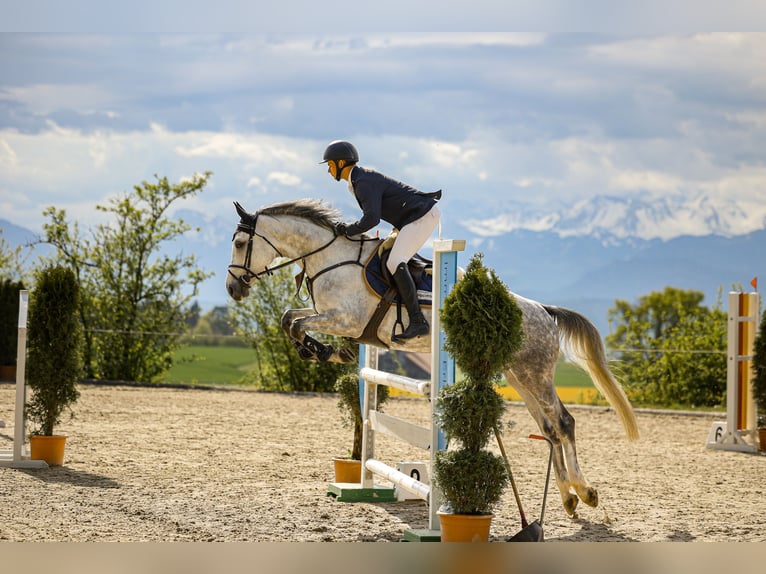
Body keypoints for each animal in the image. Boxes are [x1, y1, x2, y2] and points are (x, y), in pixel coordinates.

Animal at [226, 198, 640, 517]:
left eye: (241, 242)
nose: (233, 289)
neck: (331, 258)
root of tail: (543, 310)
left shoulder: (344, 319)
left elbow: (296, 324)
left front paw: (323, 350)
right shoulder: (329, 315)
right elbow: (289, 318)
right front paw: (324, 350)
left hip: (534, 372)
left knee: (564, 423)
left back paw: (586, 492)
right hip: (519, 375)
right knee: (550, 428)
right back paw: (569, 499)